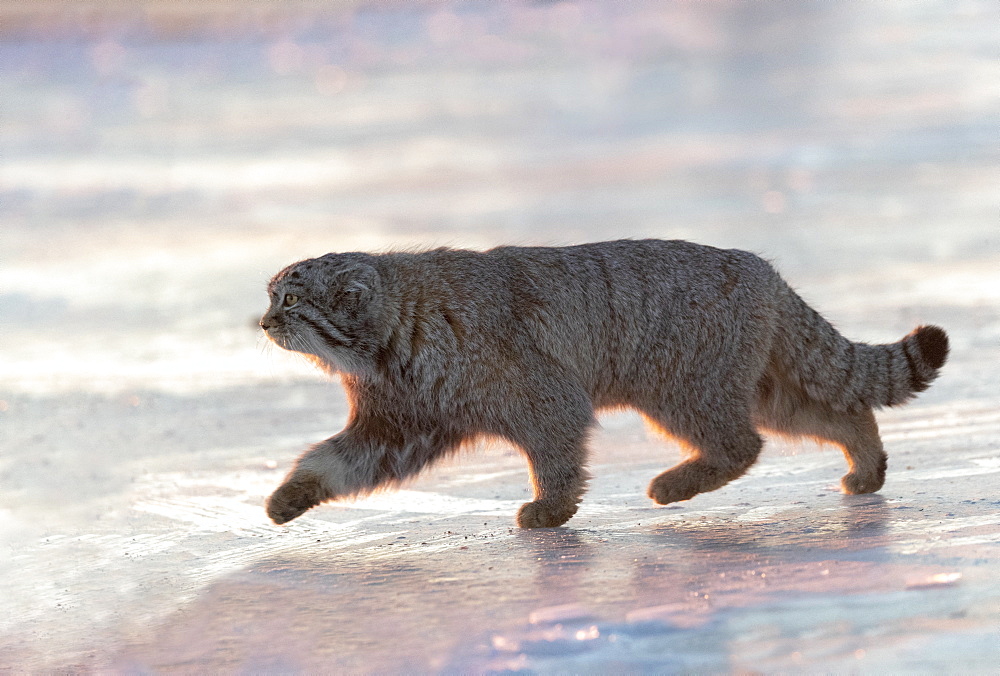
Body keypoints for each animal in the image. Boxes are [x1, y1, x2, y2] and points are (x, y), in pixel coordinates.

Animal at [258, 238, 944, 528]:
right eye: (271, 296)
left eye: (290, 300)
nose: (261, 322)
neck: (391, 339)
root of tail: (765, 271)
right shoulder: (398, 425)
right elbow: (334, 462)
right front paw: (291, 495)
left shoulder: (544, 397)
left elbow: (558, 455)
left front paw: (553, 509)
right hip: (757, 385)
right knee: (836, 411)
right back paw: (866, 463)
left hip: (680, 387)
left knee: (743, 444)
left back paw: (675, 484)